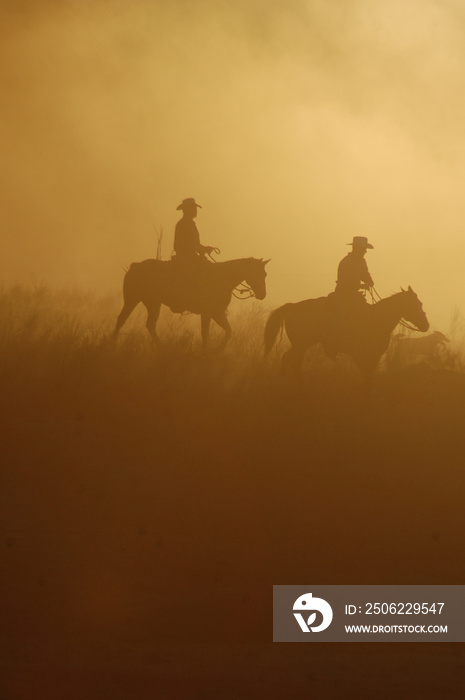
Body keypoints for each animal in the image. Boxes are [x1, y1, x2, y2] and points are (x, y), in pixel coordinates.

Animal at [113, 256, 270, 350]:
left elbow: (228, 331)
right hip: (133, 299)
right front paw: (207, 352)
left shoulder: (216, 313)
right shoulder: (208, 313)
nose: (262, 294)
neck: (221, 278)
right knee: (124, 319)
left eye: (265, 274)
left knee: (145, 324)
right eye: (256, 273)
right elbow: (206, 333)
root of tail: (134, 267)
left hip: (151, 303)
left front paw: (216, 351)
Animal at [262, 286, 430, 380]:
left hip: (301, 345)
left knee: (292, 360)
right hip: (301, 343)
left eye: (421, 303)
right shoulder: (362, 355)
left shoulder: (372, 356)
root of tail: (291, 306)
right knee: (289, 359)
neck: (376, 319)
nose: (426, 325)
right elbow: (366, 376)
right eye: (415, 304)